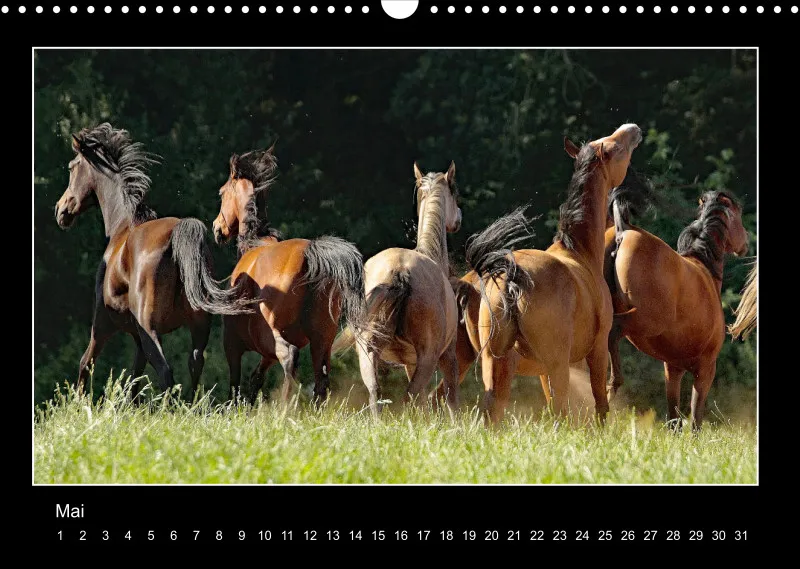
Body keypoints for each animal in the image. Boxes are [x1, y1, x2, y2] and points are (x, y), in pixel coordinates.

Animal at [54, 123, 253, 398]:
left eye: (72, 167)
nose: (60, 210)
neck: (123, 226)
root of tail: (177, 234)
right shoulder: (138, 337)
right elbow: (134, 376)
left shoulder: (103, 324)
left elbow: (87, 362)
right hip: (198, 325)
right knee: (194, 362)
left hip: (150, 328)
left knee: (165, 370)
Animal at [212, 147, 366, 404]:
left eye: (222, 192)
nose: (217, 228)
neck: (256, 242)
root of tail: (310, 254)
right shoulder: (265, 350)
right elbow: (256, 377)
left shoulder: (232, 342)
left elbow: (236, 381)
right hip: (322, 339)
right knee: (321, 378)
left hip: (283, 336)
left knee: (290, 360)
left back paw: (285, 407)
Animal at [332, 162, 462, 418]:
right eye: (455, 194)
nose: (458, 219)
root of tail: (400, 270)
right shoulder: (447, 356)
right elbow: (450, 398)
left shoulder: (409, 363)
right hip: (429, 358)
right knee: (410, 396)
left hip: (368, 353)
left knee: (376, 392)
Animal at [465, 123, 642, 424]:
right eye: (615, 147)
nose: (634, 129)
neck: (579, 252)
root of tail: (512, 277)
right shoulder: (597, 350)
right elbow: (600, 401)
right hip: (557, 363)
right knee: (561, 409)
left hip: (496, 361)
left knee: (494, 408)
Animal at [604, 188, 749, 429]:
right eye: (737, 216)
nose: (746, 242)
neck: (705, 267)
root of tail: (623, 232)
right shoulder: (705, 369)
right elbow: (695, 417)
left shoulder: (673, 368)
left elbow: (674, 418)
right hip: (643, 321)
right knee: (613, 331)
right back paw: (613, 385)